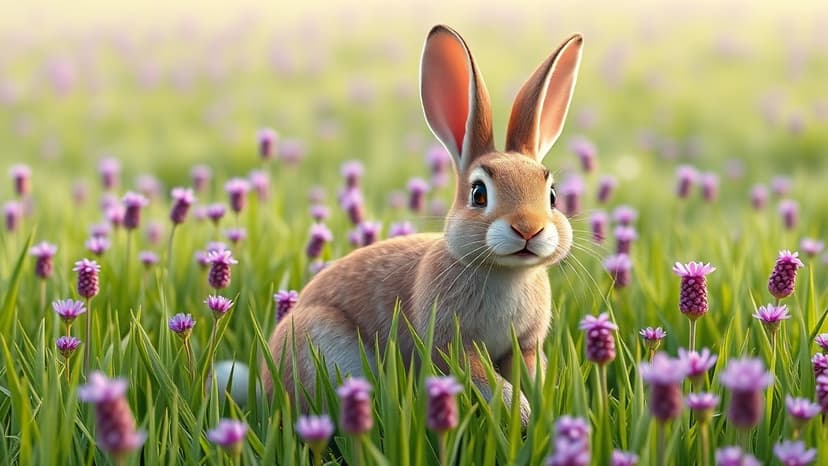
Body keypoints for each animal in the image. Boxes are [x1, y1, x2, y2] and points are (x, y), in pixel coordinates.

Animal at [264, 24, 583, 423]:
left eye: (552, 195)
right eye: (479, 193)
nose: (528, 229)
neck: (504, 272)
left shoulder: (524, 346)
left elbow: (530, 373)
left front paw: (540, 411)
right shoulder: (452, 343)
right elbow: (487, 380)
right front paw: (521, 415)